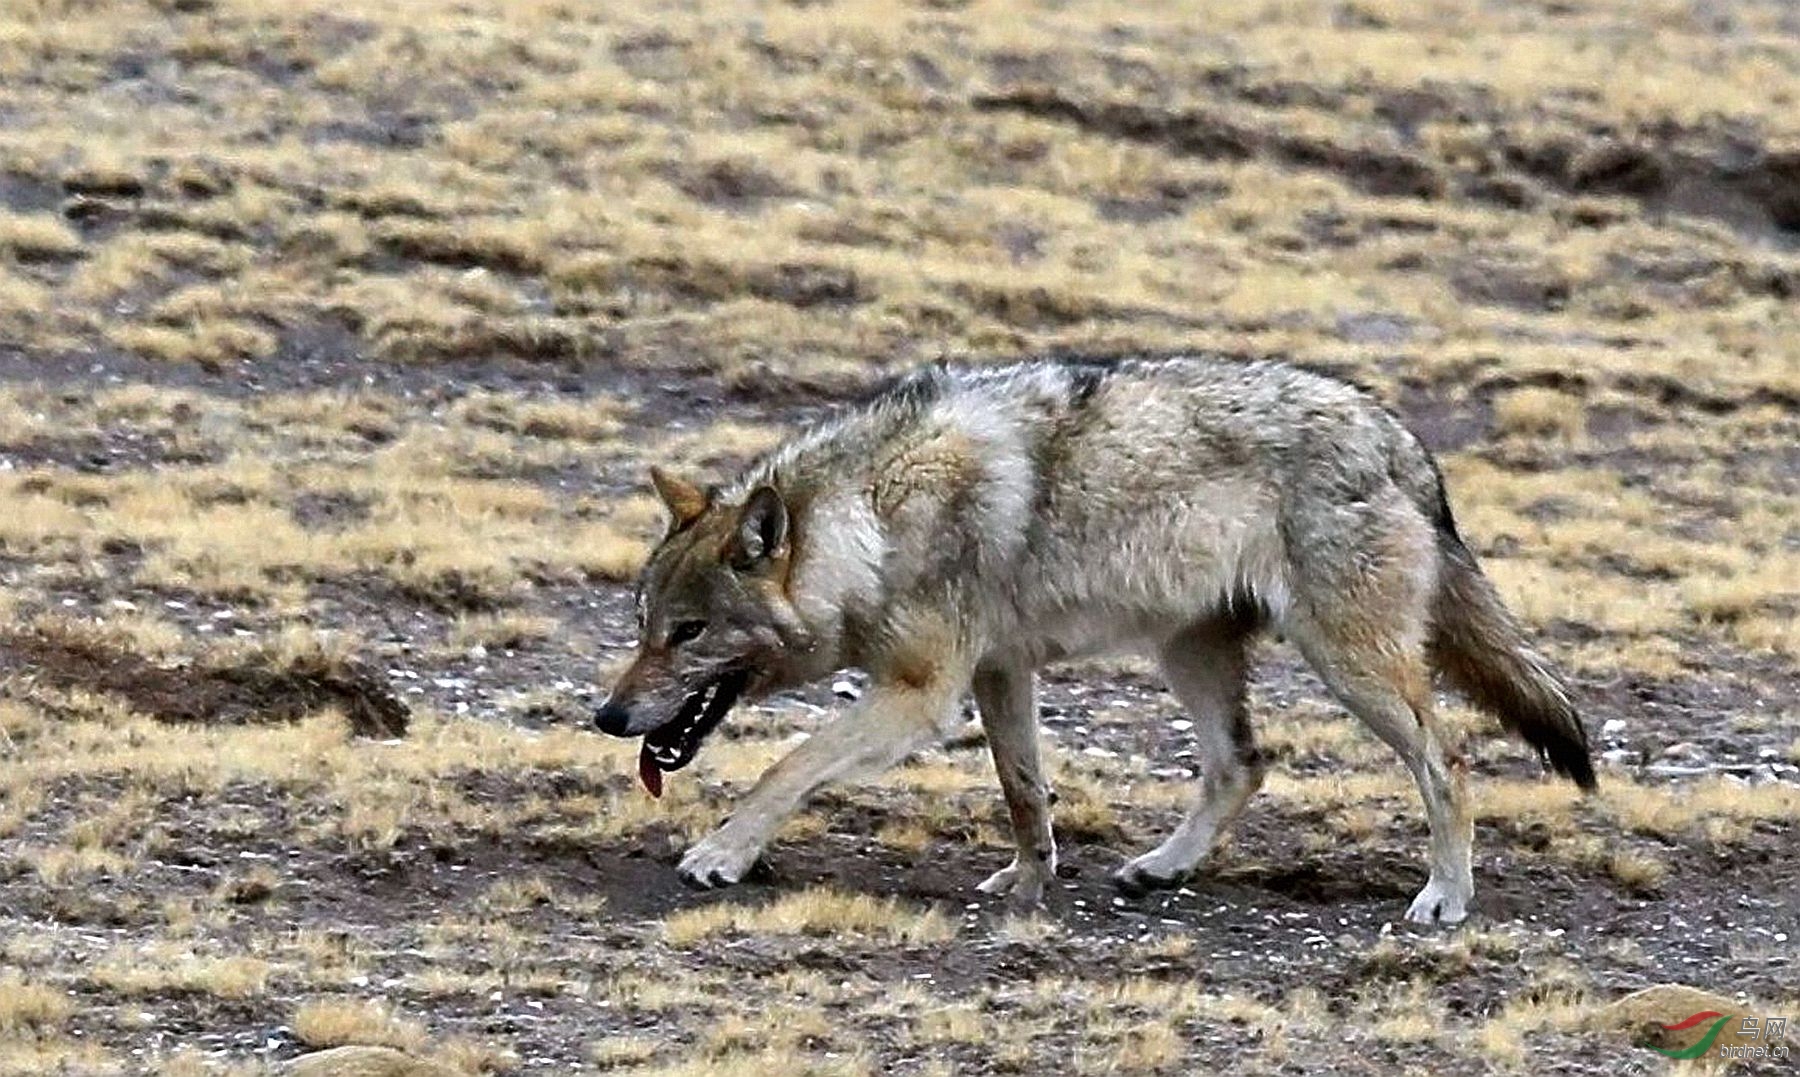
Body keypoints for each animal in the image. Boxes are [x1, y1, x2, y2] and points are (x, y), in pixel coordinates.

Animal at [590, 356, 1591, 929]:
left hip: (1347, 665)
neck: (869, 518)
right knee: (1243, 765)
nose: (606, 715)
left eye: (687, 633)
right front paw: (1027, 885)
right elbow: (1025, 794)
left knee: (1447, 758)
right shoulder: (1000, 673)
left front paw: (721, 853)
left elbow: (786, 765)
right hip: (1192, 653)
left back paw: (1446, 897)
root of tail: (1404, 440)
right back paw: (1159, 868)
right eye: (641, 626)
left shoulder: (920, 693)